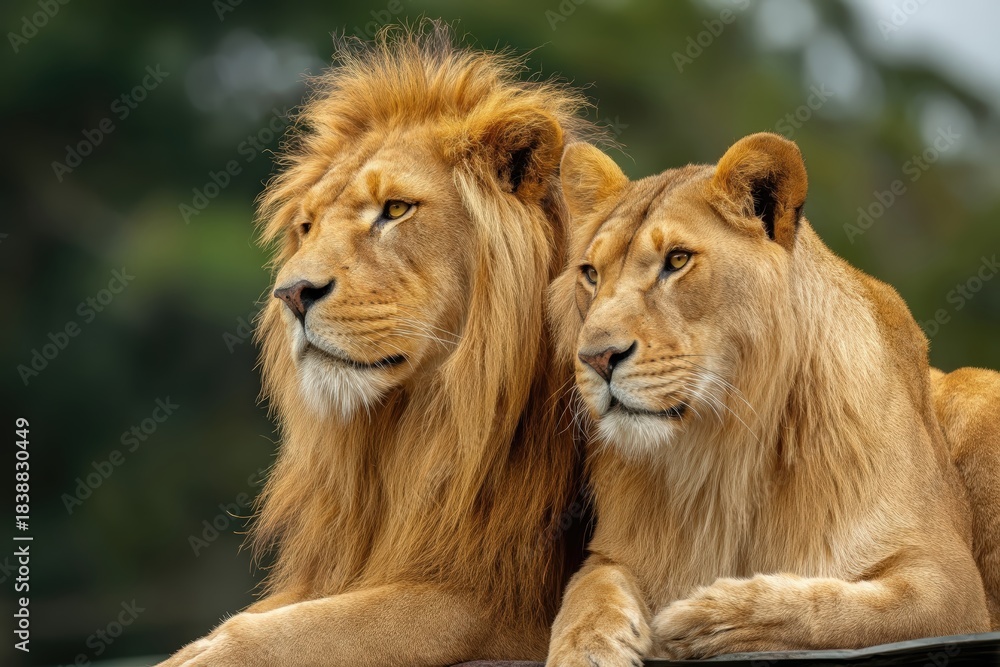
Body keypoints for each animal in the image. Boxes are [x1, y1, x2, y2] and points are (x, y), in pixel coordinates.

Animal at [160, 23, 595, 666]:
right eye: (308, 226)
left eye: (394, 209)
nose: (291, 293)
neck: (418, 430)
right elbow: (244, 620)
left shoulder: (504, 607)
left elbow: (286, 631)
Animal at [544, 133, 993, 665]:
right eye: (591, 273)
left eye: (677, 260)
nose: (596, 358)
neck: (725, 449)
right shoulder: (614, 551)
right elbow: (586, 592)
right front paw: (585, 647)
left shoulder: (950, 583)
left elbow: (844, 612)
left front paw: (707, 619)